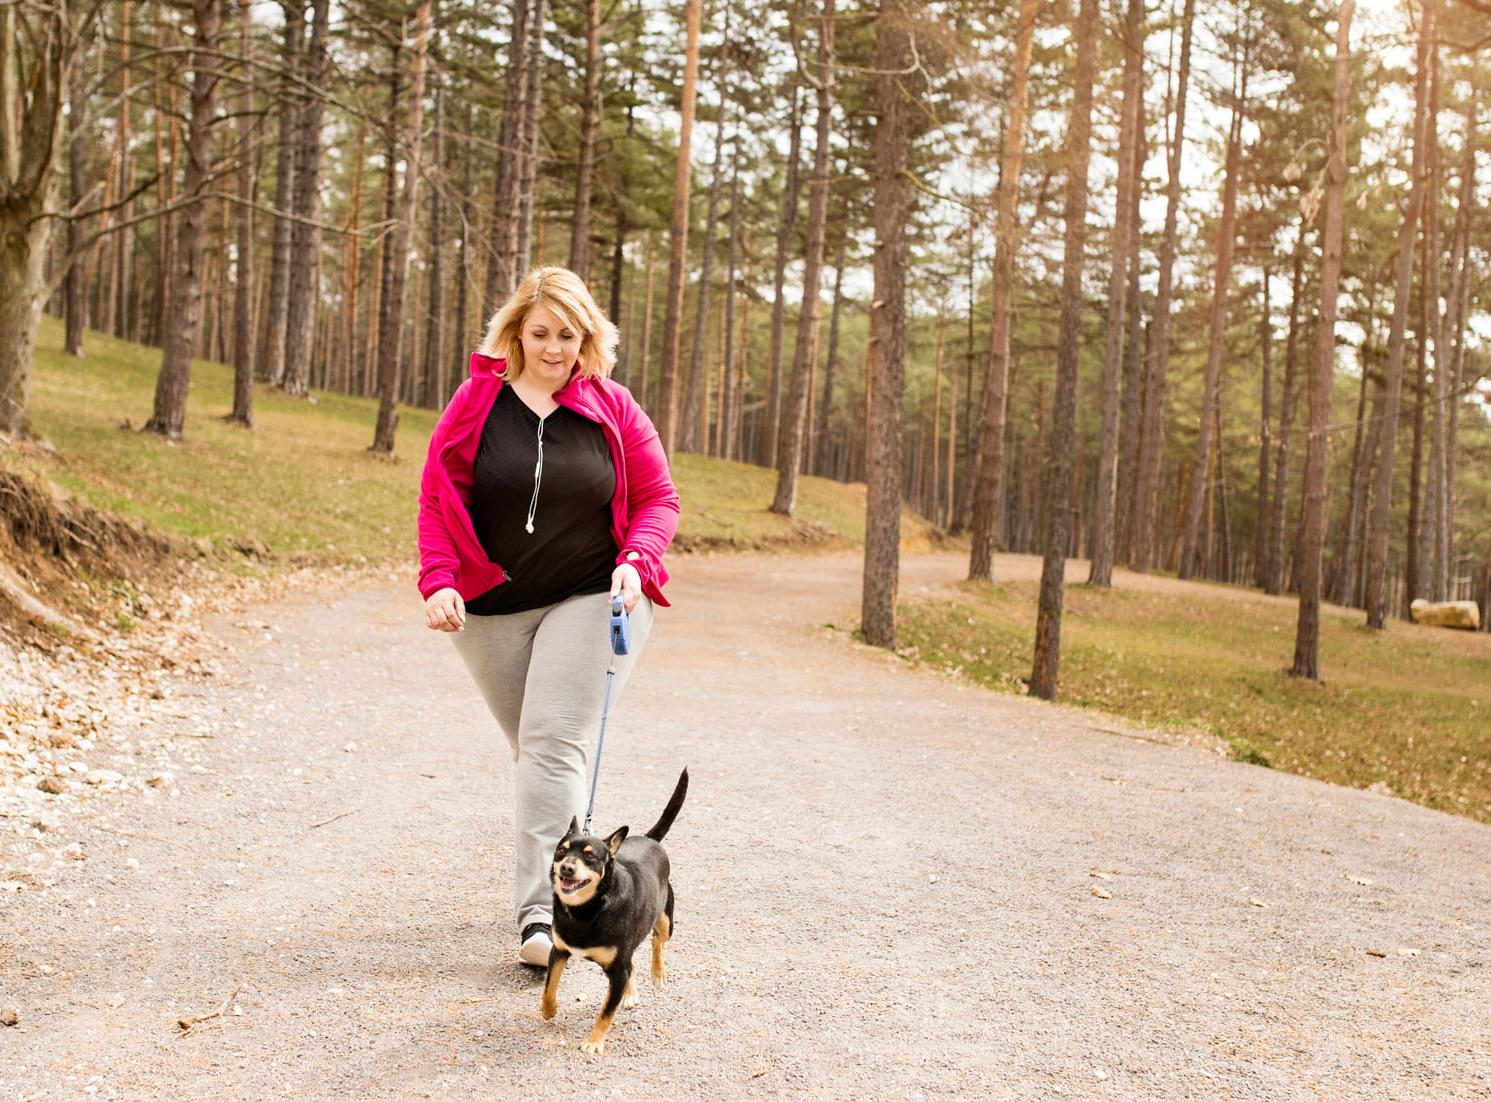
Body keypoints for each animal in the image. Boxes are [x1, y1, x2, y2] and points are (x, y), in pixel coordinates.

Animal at [539, 769, 688, 1055]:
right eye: (561, 851)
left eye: (590, 857)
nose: (566, 868)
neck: (586, 910)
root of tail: (649, 839)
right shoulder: (559, 951)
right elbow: (549, 986)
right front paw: (549, 1009)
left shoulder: (617, 971)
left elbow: (606, 1011)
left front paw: (594, 1042)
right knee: (635, 962)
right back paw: (631, 993)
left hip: (665, 921)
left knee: (657, 941)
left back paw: (658, 973)